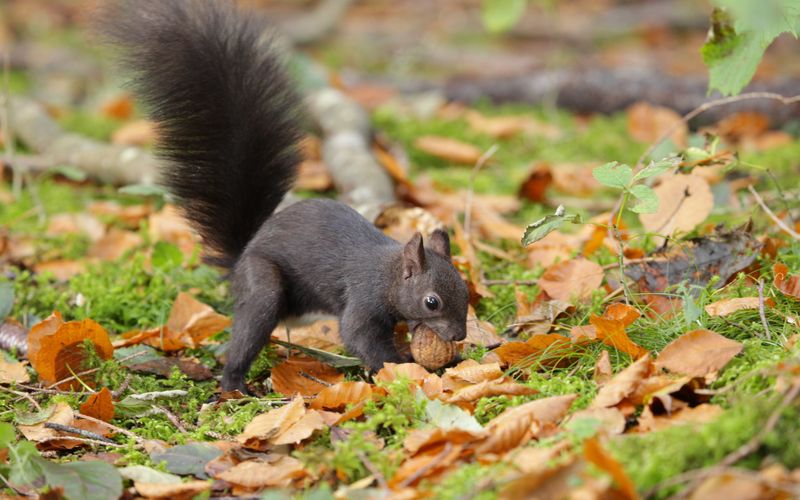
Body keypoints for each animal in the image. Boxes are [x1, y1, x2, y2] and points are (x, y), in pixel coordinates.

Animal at [100, 0, 472, 394]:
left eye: (465, 290)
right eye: (432, 302)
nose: (459, 335)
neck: (388, 274)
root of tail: (240, 260)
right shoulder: (363, 296)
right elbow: (358, 335)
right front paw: (399, 366)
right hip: (263, 286)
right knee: (250, 328)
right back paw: (234, 385)